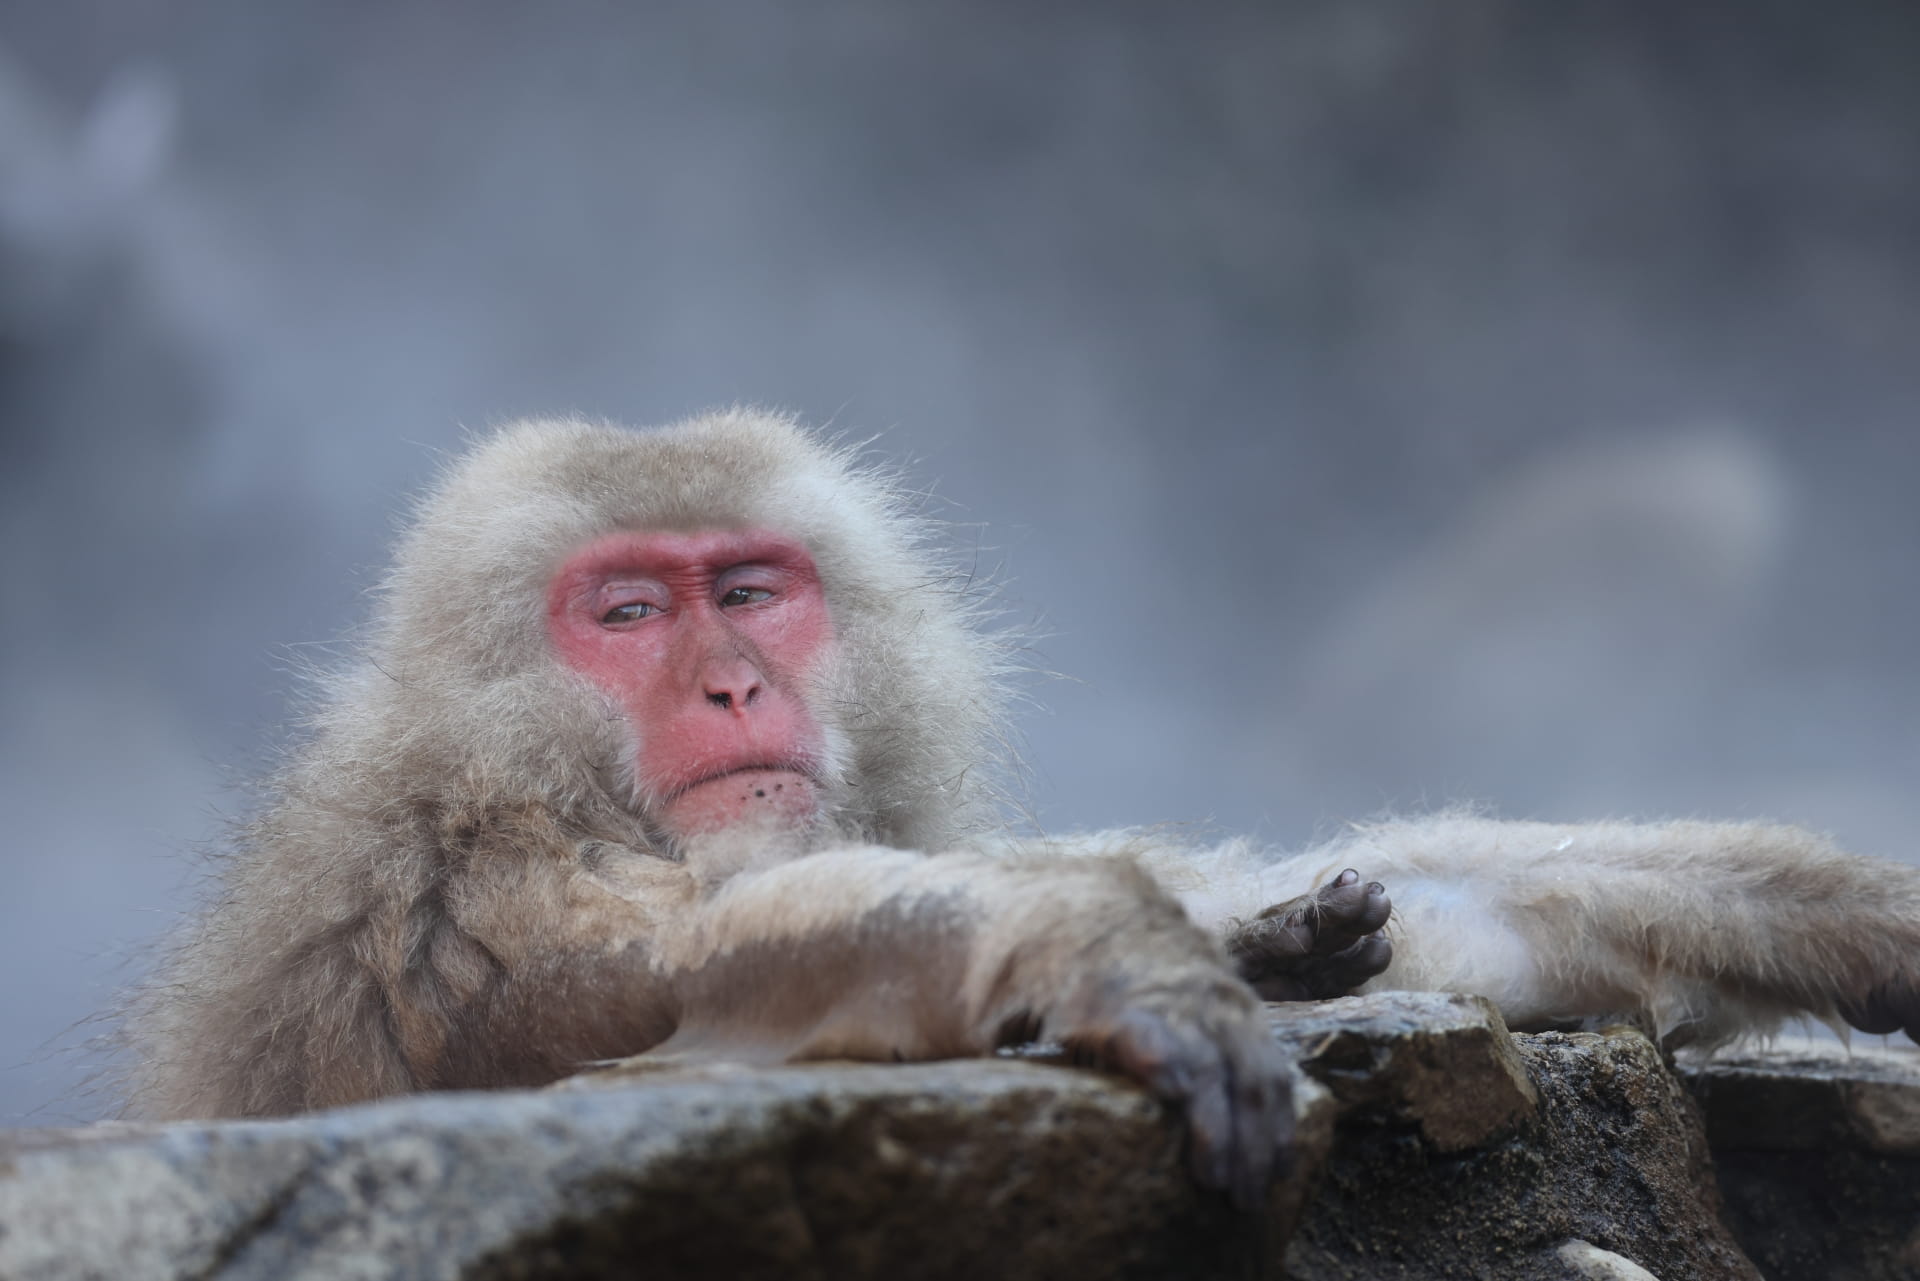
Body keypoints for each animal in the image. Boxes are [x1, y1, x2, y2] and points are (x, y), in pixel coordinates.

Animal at [126, 409, 1920, 1213]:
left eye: (751, 591)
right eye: (627, 612)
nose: (732, 688)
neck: (529, 775)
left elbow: (1459, 922)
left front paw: (1851, 915)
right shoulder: (465, 907)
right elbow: (725, 972)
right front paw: (1120, 965)